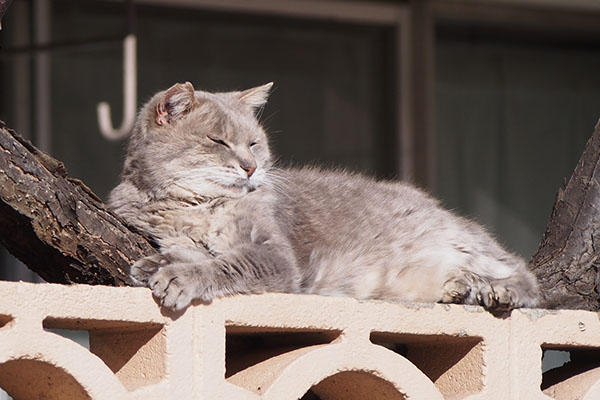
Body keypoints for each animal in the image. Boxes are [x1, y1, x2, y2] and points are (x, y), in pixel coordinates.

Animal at [108, 82, 540, 312]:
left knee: (525, 276)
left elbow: (226, 264)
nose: (251, 167)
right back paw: (458, 287)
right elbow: (191, 251)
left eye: (254, 143)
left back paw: (495, 289)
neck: (191, 207)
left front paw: (179, 275)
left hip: (465, 241)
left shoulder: (273, 254)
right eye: (218, 142)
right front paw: (156, 263)